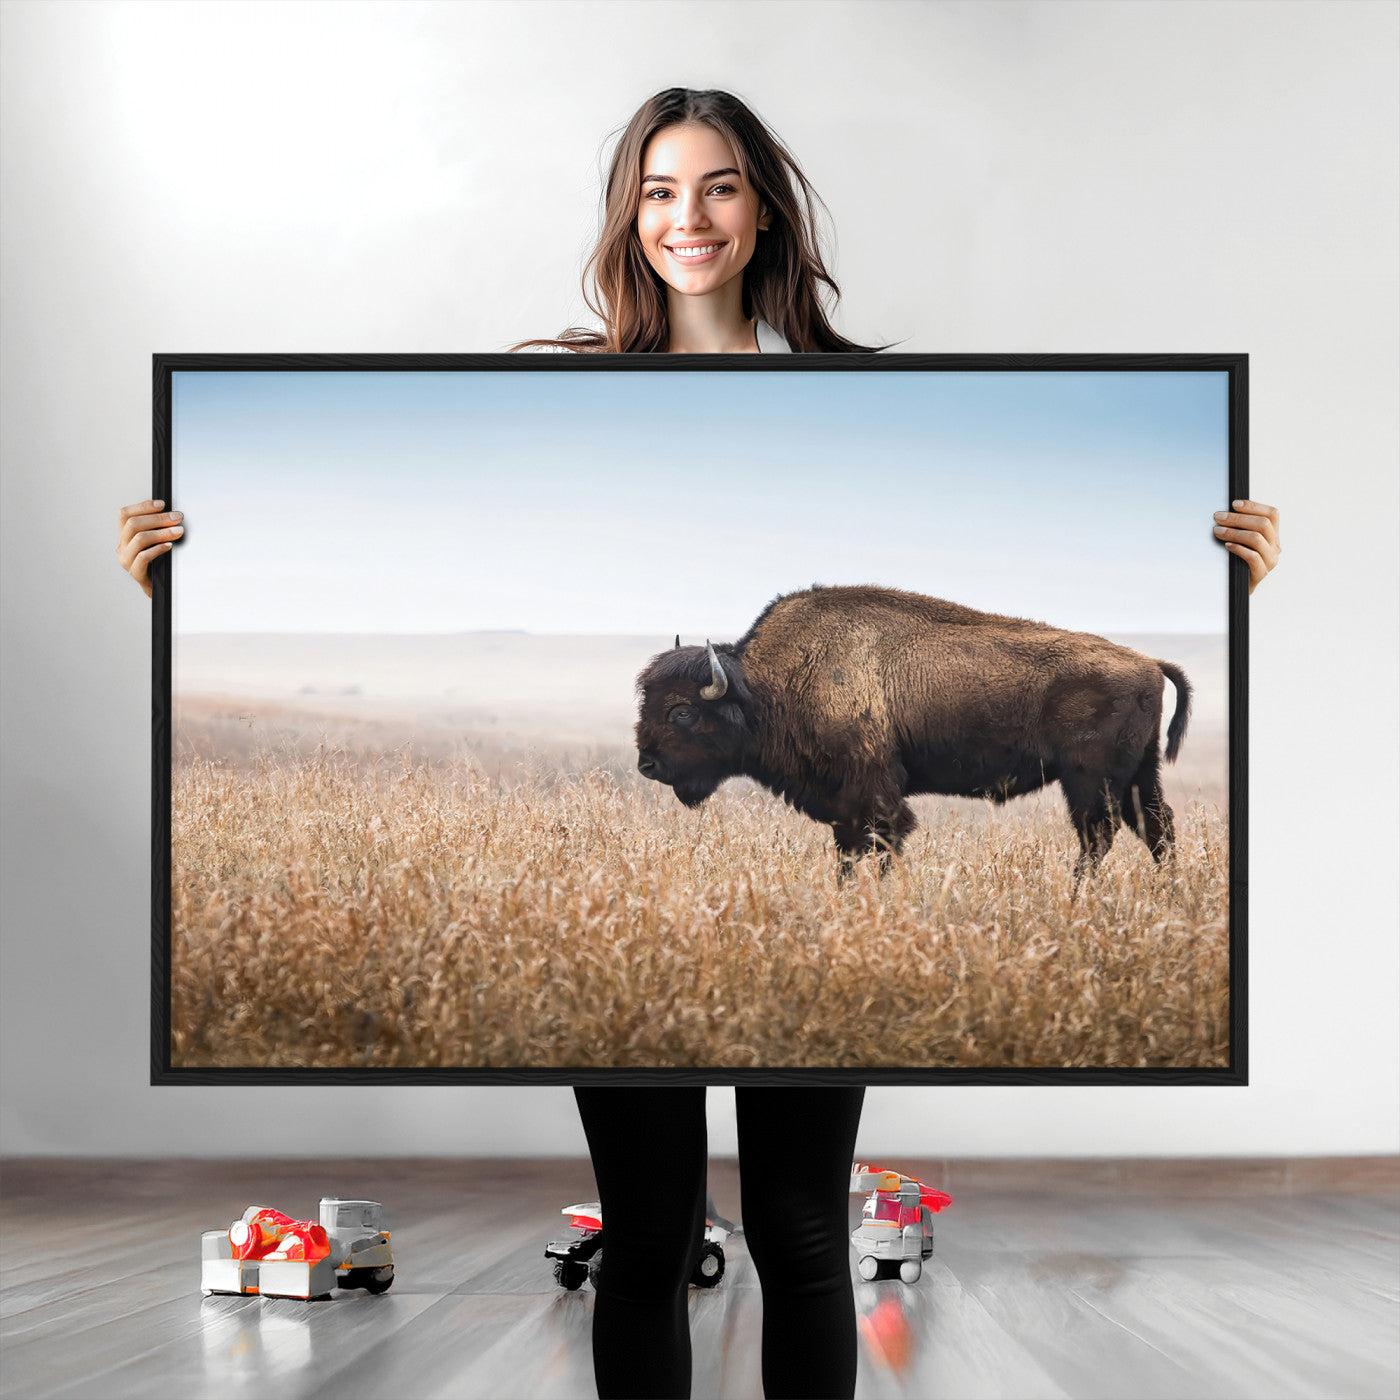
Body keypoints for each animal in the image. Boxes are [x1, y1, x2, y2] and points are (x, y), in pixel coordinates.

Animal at [634, 585, 1192, 889]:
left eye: (682, 711)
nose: (647, 765)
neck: (767, 685)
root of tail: (1148, 662)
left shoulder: (874, 795)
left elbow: (882, 843)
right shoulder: (844, 806)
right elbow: (848, 852)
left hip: (1089, 780)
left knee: (1100, 835)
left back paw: (1076, 897)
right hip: (1138, 775)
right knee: (1156, 829)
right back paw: (1168, 896)